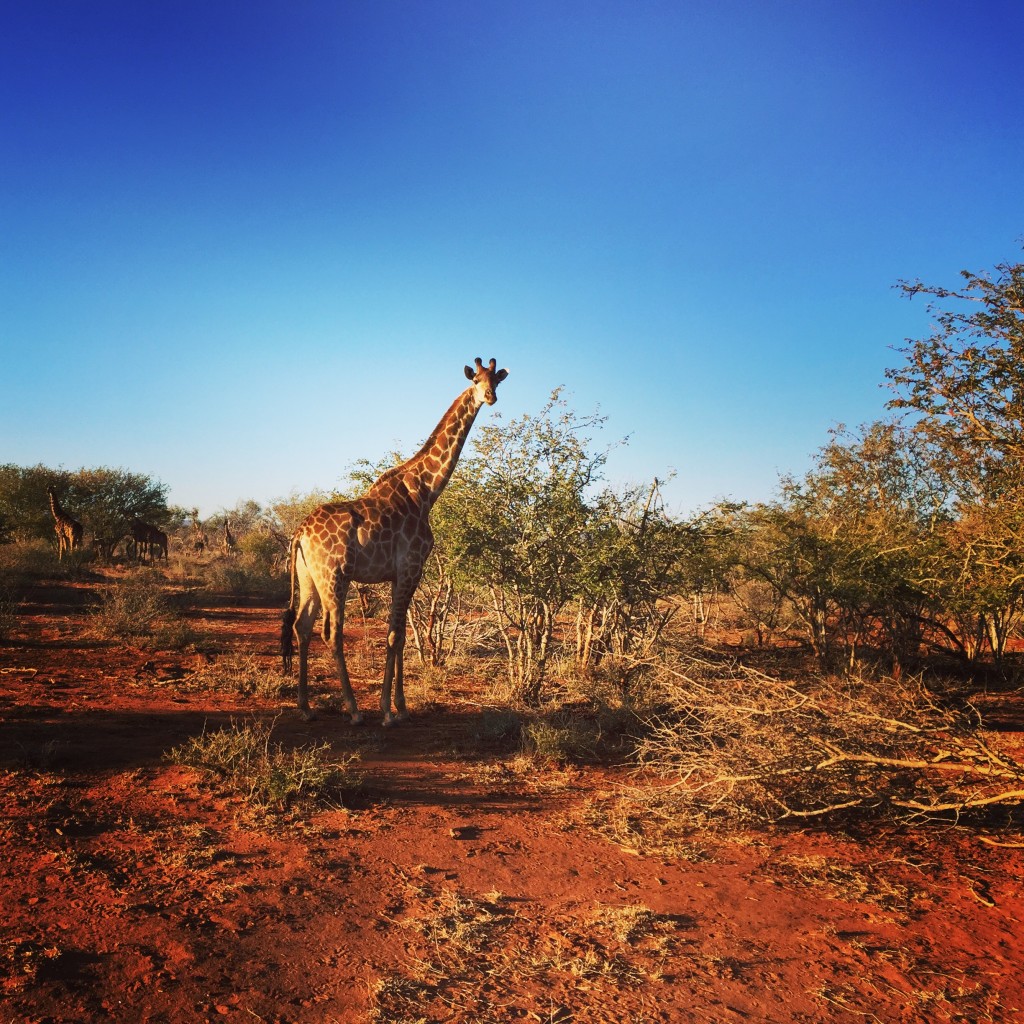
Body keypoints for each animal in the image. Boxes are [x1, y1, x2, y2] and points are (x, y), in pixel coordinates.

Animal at [280, 356, 507, 724]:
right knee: (331, 633)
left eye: (496, 381)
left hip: (309, 578)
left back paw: (305, 707)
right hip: (335, 577)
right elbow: (394, 635)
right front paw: (388, 710)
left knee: (302, 626)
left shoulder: (404, 573)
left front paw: (401, 706)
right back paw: (354, 710)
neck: (427, 491)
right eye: (476, 381)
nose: (490, 397)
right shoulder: (411, 567)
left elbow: (400, 637)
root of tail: (299, 533)